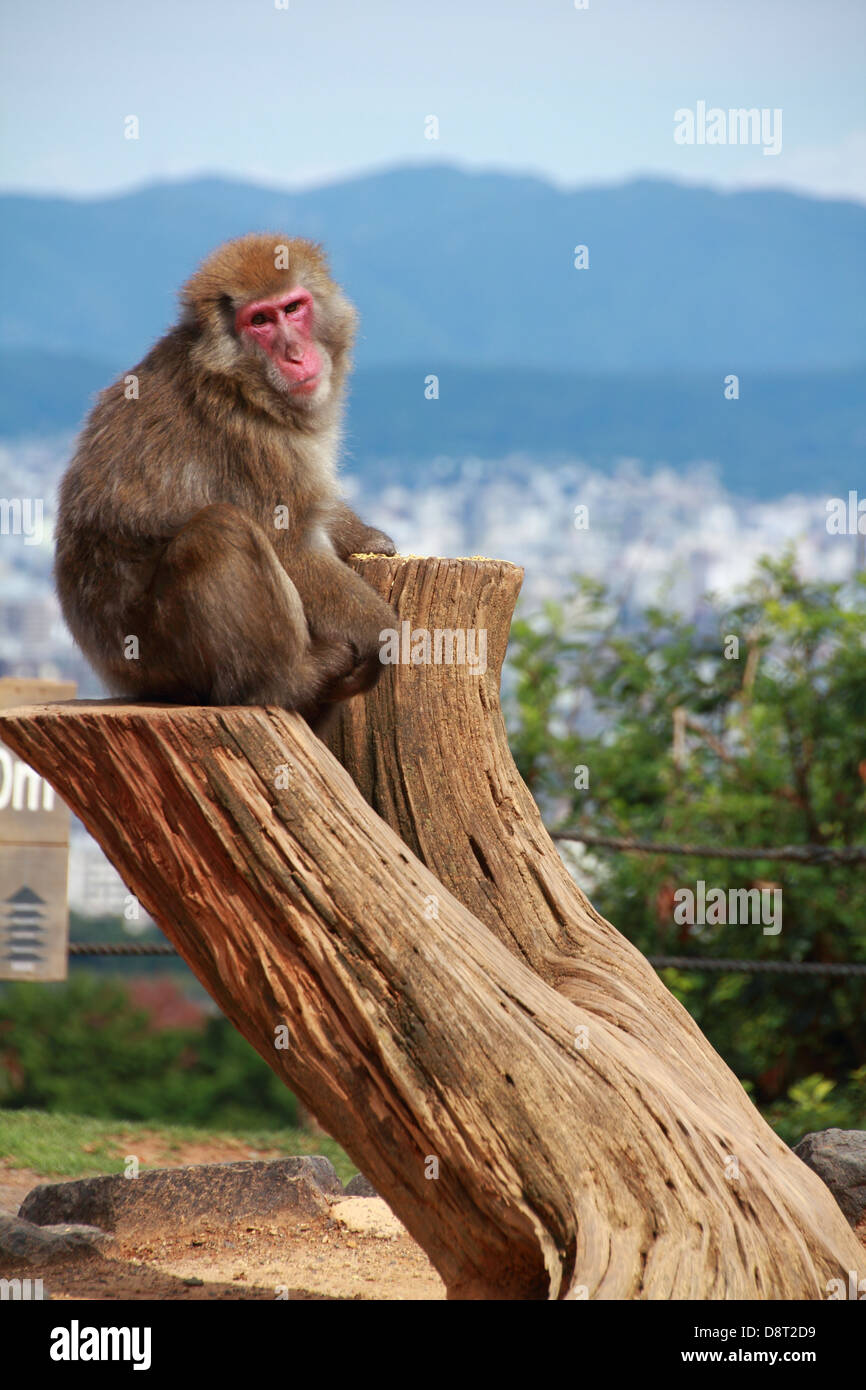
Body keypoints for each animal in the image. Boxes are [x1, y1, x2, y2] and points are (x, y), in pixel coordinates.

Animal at [54, 233, 398, 728]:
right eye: (259, 321)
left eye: (293, 308)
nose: (295, 355)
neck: (242, 382)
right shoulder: (249, 443)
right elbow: (292, 548)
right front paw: (384, 633)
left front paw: (364, 536)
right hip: (161, 658)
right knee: (220, 532)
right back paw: (288, 681)